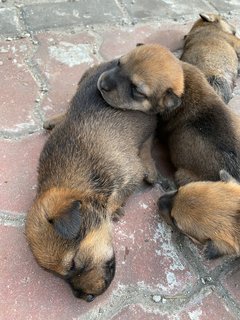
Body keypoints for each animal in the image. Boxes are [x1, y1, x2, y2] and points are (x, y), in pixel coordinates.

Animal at [25, 60, 158, 302]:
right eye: (60, 276)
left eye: (73, 264)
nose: (84, 298)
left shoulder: (128, 174)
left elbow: (118, 197)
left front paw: (115, 209)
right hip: (85, 77)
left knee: (148, 140)